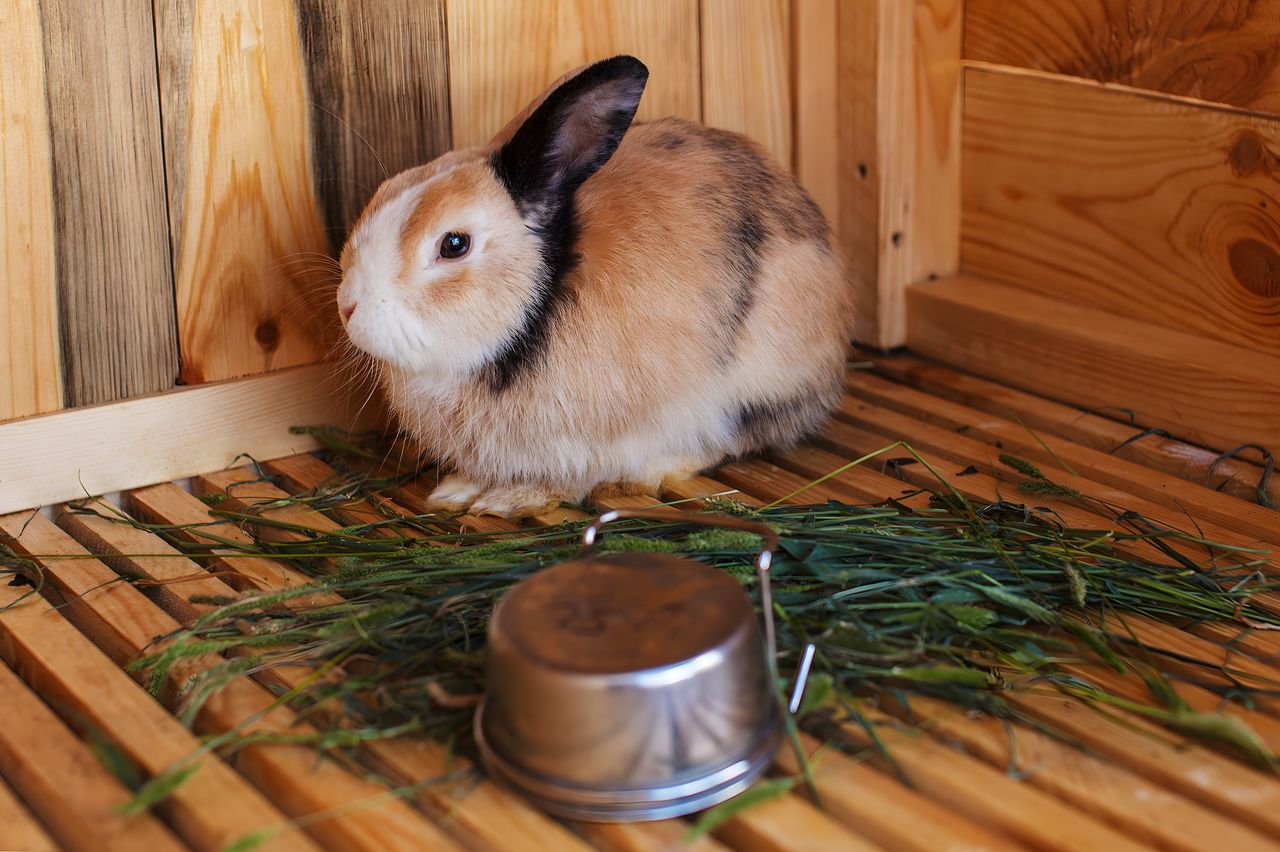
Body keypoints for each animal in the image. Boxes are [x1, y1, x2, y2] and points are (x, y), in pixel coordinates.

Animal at [336, 55, 855, 517]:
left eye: (454, 244)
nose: (347, 307)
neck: (536, 310)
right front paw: (457, 490)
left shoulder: (600, 438)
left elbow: (572, 478)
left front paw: (511, 499)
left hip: (754, 385)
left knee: (734, 437)